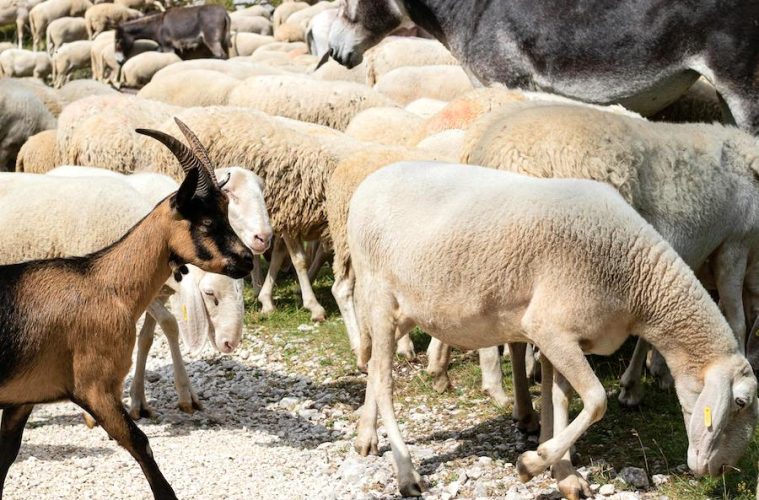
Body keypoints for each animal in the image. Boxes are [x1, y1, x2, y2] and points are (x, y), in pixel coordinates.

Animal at [347, 160, 758, 498]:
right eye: (740, 402)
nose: (723, 471)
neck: (636, 280)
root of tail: (368, 183)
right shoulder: (549, 327)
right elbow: (596, 399)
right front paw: (533, 462)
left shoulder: (566, 337)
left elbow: (560, 399)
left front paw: (563, 474)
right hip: (378, 293)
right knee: (383, 381)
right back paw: (406, 474)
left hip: (403, 308)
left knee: (375, 368)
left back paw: (366, 437)